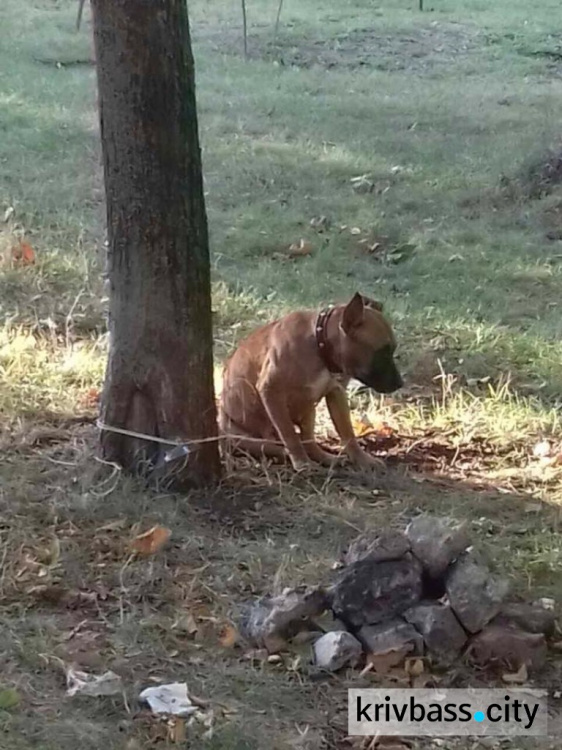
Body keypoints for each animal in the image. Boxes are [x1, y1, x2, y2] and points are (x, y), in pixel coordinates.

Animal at [219, 292, 402, 470]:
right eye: (382, 352)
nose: (400, 383)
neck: (320, 345)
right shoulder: (271, 391)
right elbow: (289, 433)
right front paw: (301, 461)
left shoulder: (336, 394)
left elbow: (347, 431)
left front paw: (361, 459)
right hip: (241, 436)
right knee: (274, 445)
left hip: (309, 410)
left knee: (308, 440)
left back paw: (325, 457)